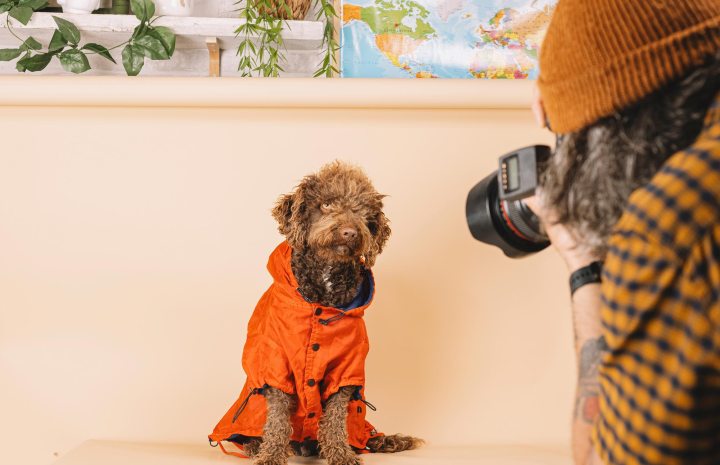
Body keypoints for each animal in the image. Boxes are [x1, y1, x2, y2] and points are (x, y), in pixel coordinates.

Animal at [208, 160, 422, 464]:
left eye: (363, 211)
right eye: (326, 204)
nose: (349, 232)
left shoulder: (346, 369)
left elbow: (335, 417)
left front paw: (340, 453)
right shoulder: (275, 365)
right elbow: (278, 417)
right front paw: (272, 454)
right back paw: (256, 446)